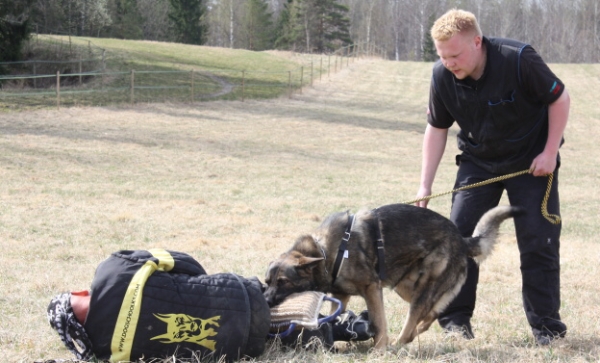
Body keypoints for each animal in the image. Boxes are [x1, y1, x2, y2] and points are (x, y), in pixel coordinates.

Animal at [262, 205, 520, 350]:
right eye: (267, 282)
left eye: (283, 282)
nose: (265, 301)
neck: (325, 252)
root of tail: (462, 239)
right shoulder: (341, 295)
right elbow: (336, 315)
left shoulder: (371, 289)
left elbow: (378, 322)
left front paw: (379, 350)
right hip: (405, 286)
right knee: (433, 313)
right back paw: (415, 333)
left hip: (421, 289)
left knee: (416, 317)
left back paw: (397, 344)